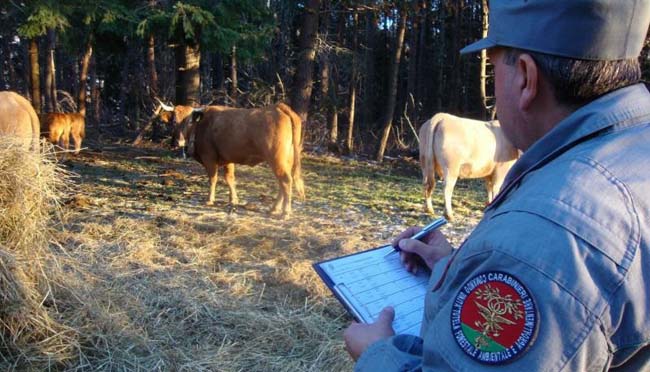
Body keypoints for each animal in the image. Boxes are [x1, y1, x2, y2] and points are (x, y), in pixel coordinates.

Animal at [162, 101, 304, 218]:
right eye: (174, 121)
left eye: (190, 121)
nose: (179, 141)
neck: (202, 125)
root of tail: (279, 107)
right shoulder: (228, 159)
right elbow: (229, 178)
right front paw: (233, 199)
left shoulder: (209, 158)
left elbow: (213, 179)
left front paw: (210, 200)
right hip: (286, 160)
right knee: (283, 183)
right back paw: (274, 208)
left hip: (276, 159)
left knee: (285, 181)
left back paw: (285, 212)